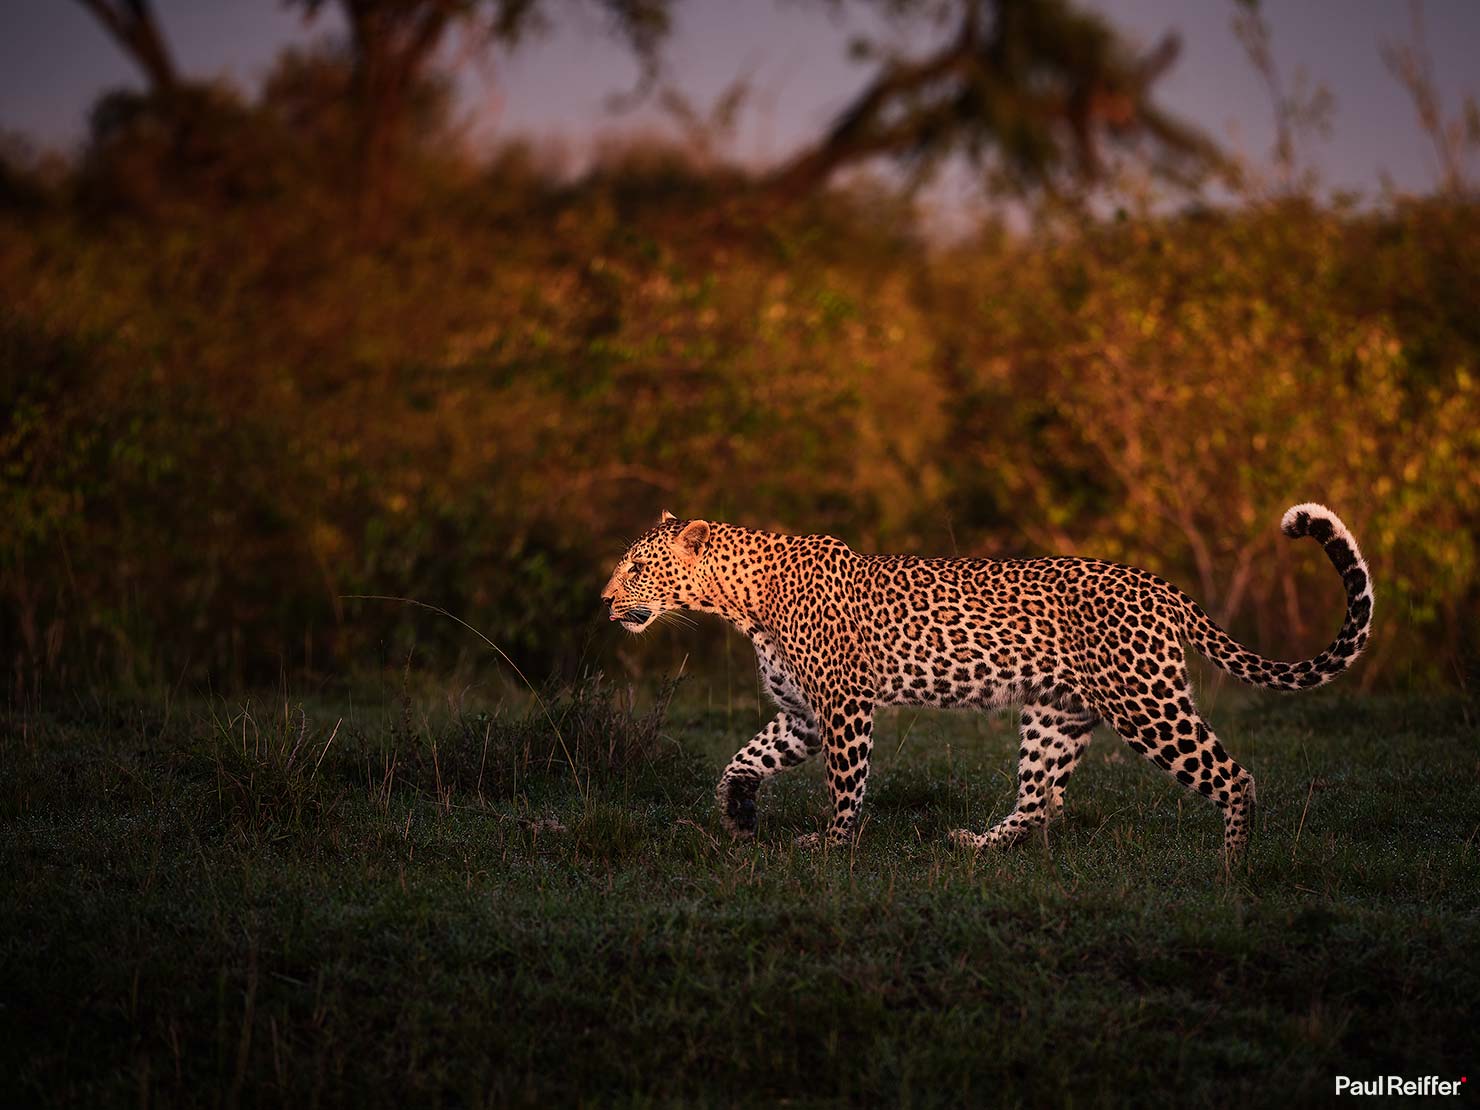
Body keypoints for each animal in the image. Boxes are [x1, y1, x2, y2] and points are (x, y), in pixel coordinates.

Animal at [600, 505, 1373, 861]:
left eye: (636, 567)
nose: (606, 601)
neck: (740, 600)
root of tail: (1158, 585)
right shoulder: (802, 717)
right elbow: (741, 759)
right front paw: (737, 815)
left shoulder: (844, 707)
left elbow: (846, 784)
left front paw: (832, 846)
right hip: (1058, 714)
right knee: (1040, 799)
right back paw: (974, 846)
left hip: (1145, 702)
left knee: (1235, 776)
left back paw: (1232, 868)